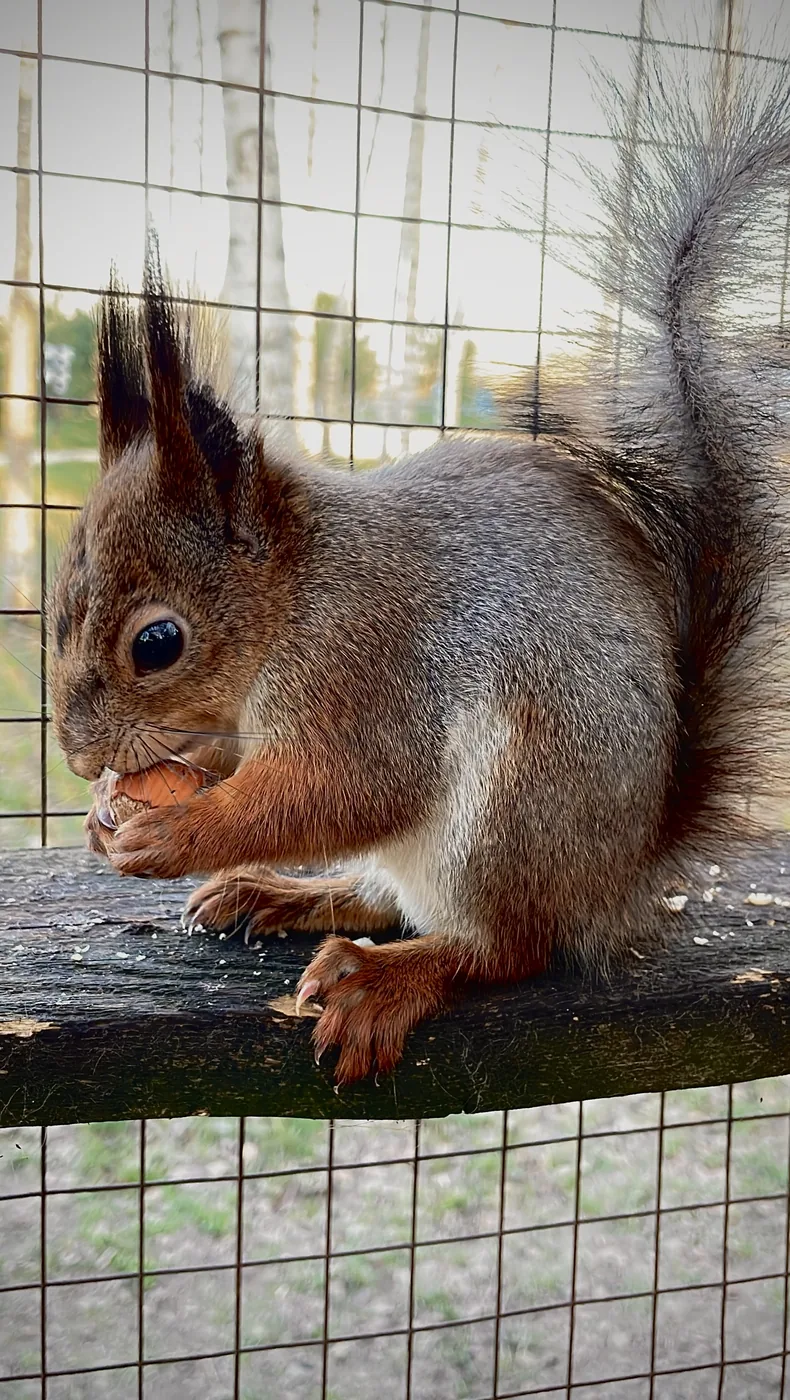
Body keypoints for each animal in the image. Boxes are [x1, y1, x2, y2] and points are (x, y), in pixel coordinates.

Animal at [49, 48, 790, 1084]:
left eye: (158, 643)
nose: (78, 757)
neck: (299, 592)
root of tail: (619, 874)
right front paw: (133, 800)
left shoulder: (368, 667)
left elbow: (352, 785)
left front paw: (176, 830)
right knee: (385, 892)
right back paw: (291, 895)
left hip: (512, 808)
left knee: (507, 948)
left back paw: (387, 975)